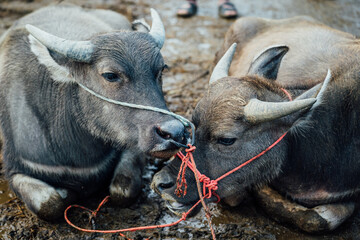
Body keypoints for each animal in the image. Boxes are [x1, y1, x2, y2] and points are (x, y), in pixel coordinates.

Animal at [0, 3, 186, 221]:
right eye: (110, 75)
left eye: (161, 69)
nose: (174, 132)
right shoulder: (14, 167)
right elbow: (49, 204)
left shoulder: (132, 146)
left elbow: (123, 190)